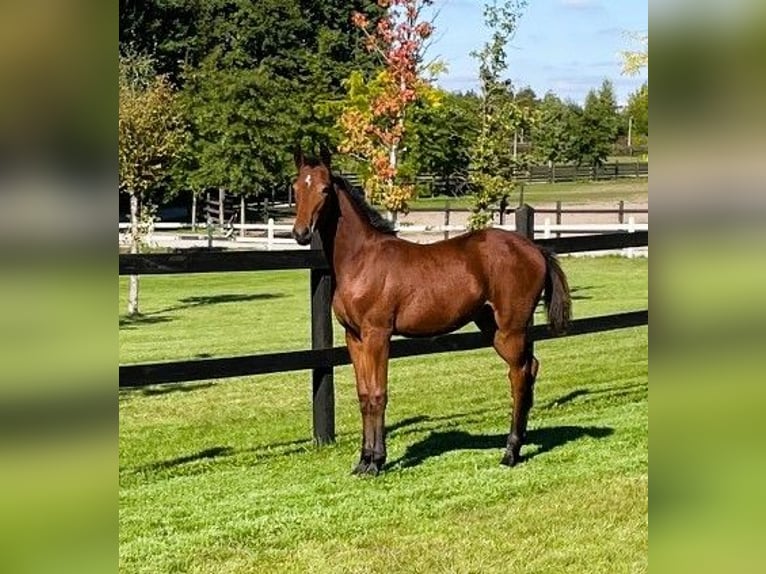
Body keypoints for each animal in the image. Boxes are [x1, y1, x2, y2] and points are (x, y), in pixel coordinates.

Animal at [291, 146, 571, 475]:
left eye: (324, 189)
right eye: (296, 188)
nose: (300, 233)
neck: (360, 260)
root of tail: (535, 249)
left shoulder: (378, 334)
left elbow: (378, 394)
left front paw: (377, 461)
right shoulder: (354, 337)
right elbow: (363, 395)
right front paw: (363, 461)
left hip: (511, 329)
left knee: (519, 376)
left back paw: (510, 453)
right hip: (493, 328)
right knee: (531, 367)